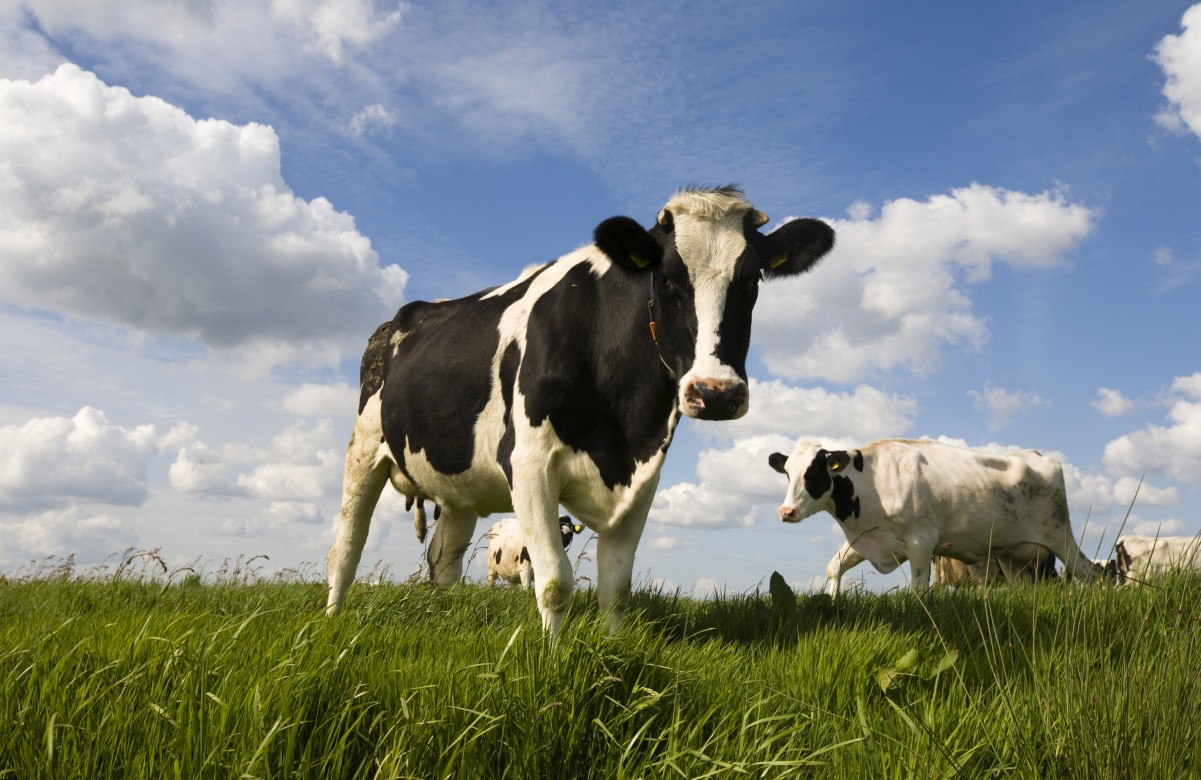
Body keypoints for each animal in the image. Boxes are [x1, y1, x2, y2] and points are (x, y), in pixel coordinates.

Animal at [326, 186, 835, 637]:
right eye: (667, 277)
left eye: (752, 280)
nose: (715, 393)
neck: (625, 426)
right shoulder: (528, 464)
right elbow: (555, 583)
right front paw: (550, 662)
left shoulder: (643, 478)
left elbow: (617, 588)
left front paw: (612, 650)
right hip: (364, 450)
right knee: (345, 547)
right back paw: (331, 621)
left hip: (459, 489)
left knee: (444, 564)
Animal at [767, 437, 1097, 598]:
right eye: (787, 473)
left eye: (814, 473)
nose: (786, 512)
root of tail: (1038, 455)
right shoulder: (867, 538)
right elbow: (833, 567)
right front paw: (834, 601)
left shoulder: (921, 543)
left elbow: (916, 590)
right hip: (1010, 553)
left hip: (1059, 535)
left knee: (1089, 573)